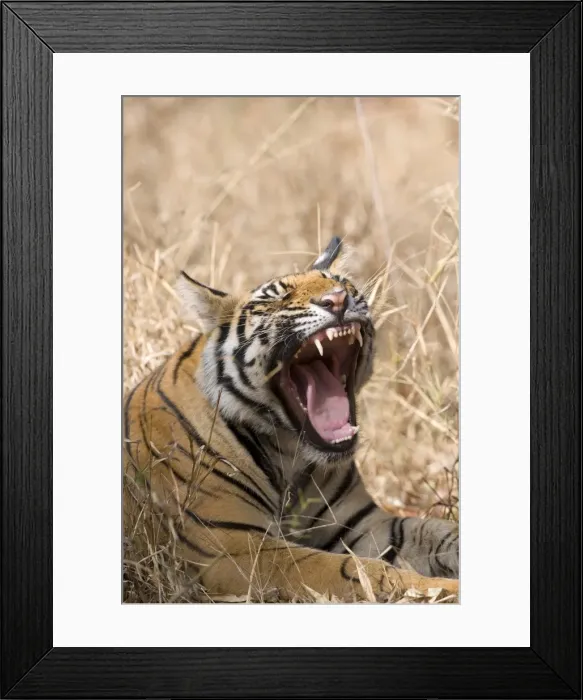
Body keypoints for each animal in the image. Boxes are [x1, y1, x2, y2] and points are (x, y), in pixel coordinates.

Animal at [124, 236, 459, 602]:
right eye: (277, 298)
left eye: (341, 283)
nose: (337, 300)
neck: (289, 455)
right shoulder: (233, 548)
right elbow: (357, 570)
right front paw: (444, 590)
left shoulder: (364, 525)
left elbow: (437, 529)